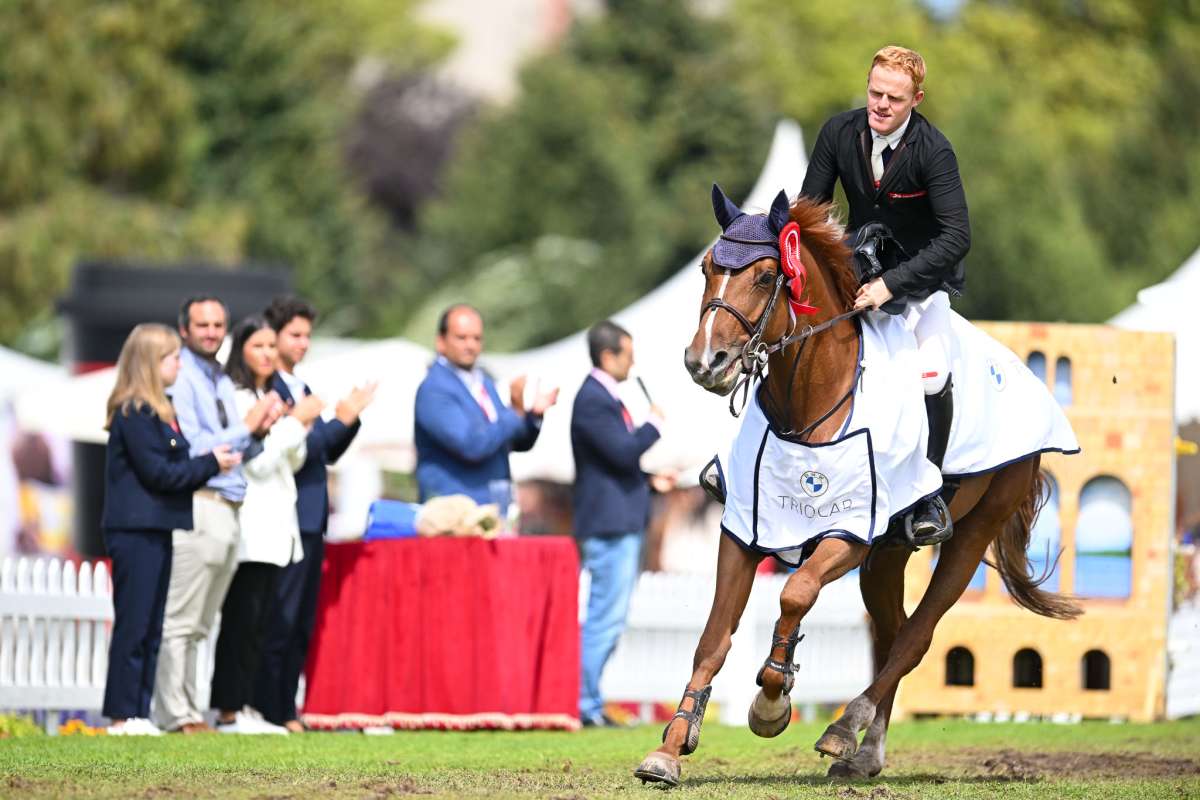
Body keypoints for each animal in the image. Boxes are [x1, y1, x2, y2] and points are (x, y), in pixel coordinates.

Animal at [633, 191, 1084, 786]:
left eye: (767, 275)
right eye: (707, 269)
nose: (705, 362)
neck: (806, 404)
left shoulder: (849, 532)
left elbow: (795, 592)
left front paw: (771, 702)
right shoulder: (744, 528)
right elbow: (713, 636)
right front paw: (670, 746)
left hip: (971, 531)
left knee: (917, 637)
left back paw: (845, 728)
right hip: (888, 557)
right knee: (890, 634)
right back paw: (865, 753)